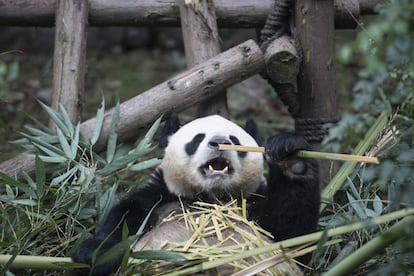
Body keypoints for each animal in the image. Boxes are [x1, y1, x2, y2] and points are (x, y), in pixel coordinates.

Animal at [72, 113, 320, 274]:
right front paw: (93, 253)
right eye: (198, 138)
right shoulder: (158, 197)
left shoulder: (252, 205)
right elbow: (121, 223)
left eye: (234, 140)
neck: (210, 197)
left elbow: (294, 240)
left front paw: (292, 159)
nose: (219, 142)